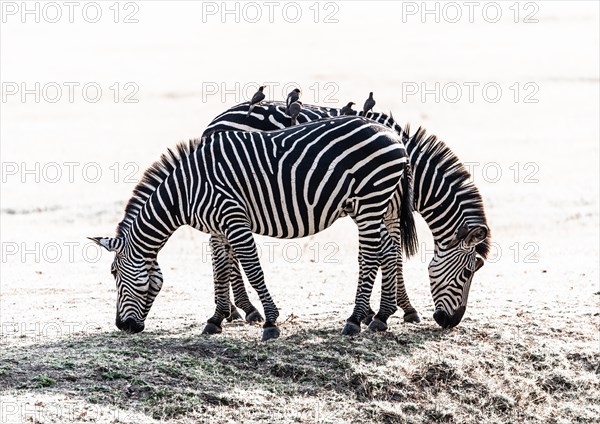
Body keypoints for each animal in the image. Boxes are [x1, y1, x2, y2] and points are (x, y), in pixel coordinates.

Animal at [89, 116, 418, 342]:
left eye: (113, 273)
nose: (123, 327)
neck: (184, 192)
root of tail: (395, 137)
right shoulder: (219, 229)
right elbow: (221, 270)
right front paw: (216, 320)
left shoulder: (234, 218)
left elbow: (252, 268)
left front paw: (270, 322)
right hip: (375, 205)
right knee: (389, 251)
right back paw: (381, 317)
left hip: (369, 202)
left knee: (372, 255)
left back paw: (354, 320)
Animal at [204, 101, 490, 330]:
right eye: (467, 273)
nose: (450, 322)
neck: (416, 171)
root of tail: (215, 121)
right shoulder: (381, 207)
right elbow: (389, 255)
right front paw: (388, 311)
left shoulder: (386, 211)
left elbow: (383, 255)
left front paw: (384, 310)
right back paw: (245, 308)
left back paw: (235, 309)